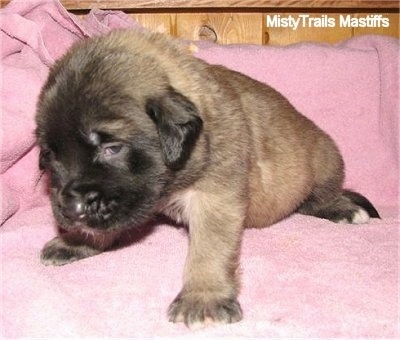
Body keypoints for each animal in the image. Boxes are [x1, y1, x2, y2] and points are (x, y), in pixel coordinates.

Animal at [36, 29, 380, 330]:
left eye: (111, 148)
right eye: (50, 154)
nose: (71, 208)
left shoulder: (214, 199)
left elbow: (208, 250)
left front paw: (203, 298)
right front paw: (78, 241)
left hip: (324, 160)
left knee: (320, 196)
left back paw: (343, 208)